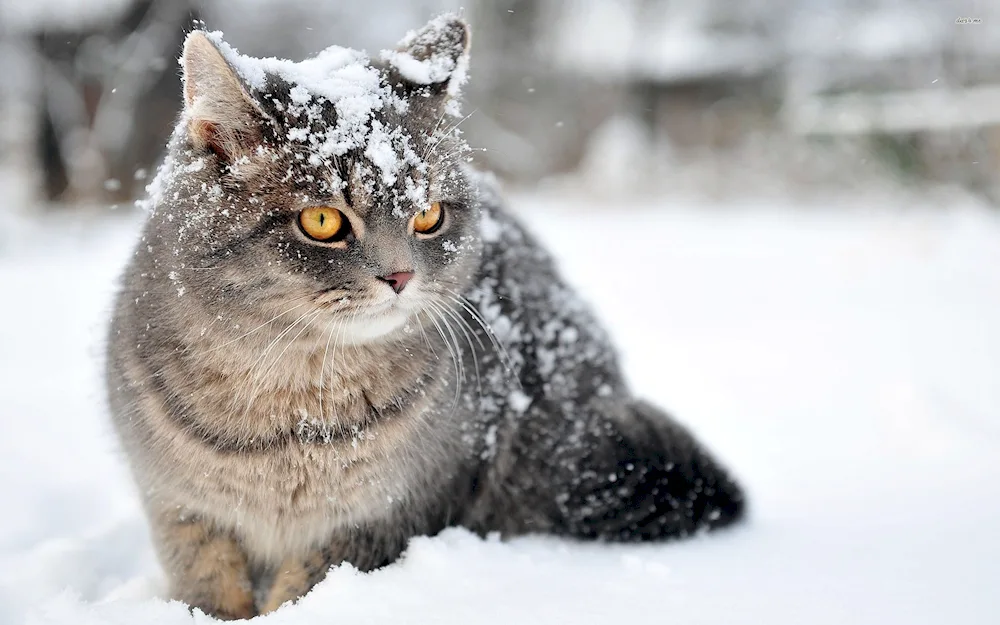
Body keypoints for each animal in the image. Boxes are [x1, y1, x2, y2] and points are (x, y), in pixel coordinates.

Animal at [105, 14, 748, 620]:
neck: (290, 411)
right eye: (322, 221)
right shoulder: (180, 509)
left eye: (429, 215)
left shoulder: (383, 516)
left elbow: (302, 590)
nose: (400, 277)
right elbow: (207, 586)